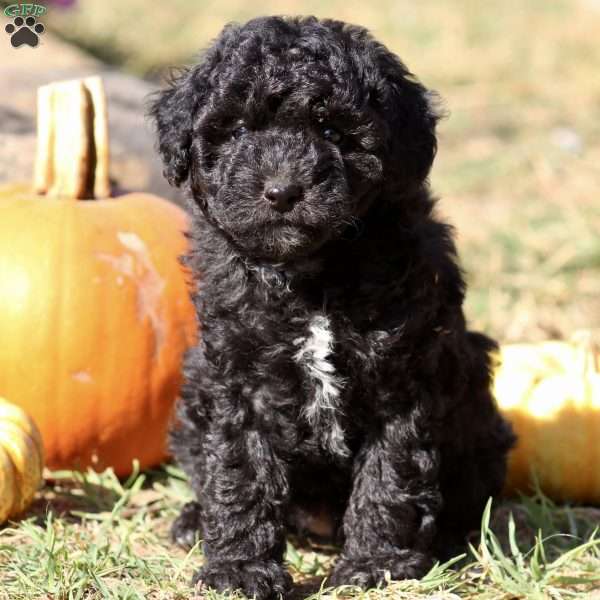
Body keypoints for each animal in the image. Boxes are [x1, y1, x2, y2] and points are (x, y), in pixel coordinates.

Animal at [151, 15, 516, 600]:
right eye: (237, 130)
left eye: (332, 132)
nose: (281, 191)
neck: (309, 272)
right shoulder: (236, 379)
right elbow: (239, 470)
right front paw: (240, 571)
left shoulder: (404, 378)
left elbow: (391, 475)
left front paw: (376, 565)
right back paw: (192, 521)